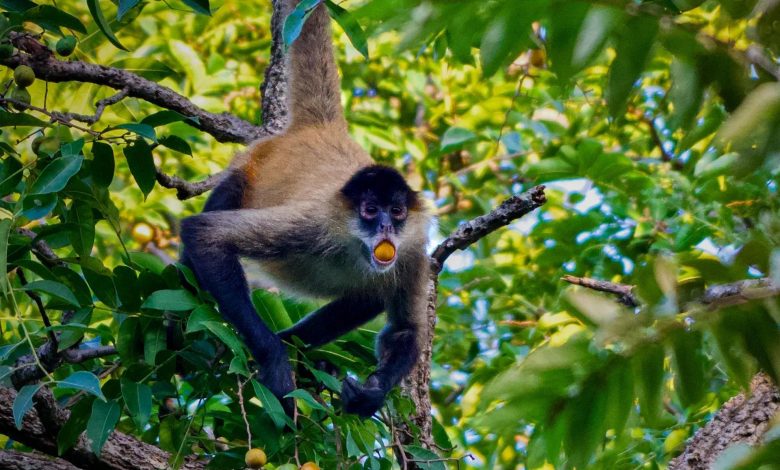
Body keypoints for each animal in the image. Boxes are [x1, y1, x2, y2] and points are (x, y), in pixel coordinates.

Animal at [178, 0, 432, 418]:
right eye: (370, 209)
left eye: (396, 212)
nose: (385, 228)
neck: (355, 247)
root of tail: (320, 129)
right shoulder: (314, 224)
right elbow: (205, 234)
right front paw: (275, 359)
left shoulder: (412, 250)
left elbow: (404, 330)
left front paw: (371, 394)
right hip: (249, 169)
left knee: (369, 295)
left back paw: (300, 349)